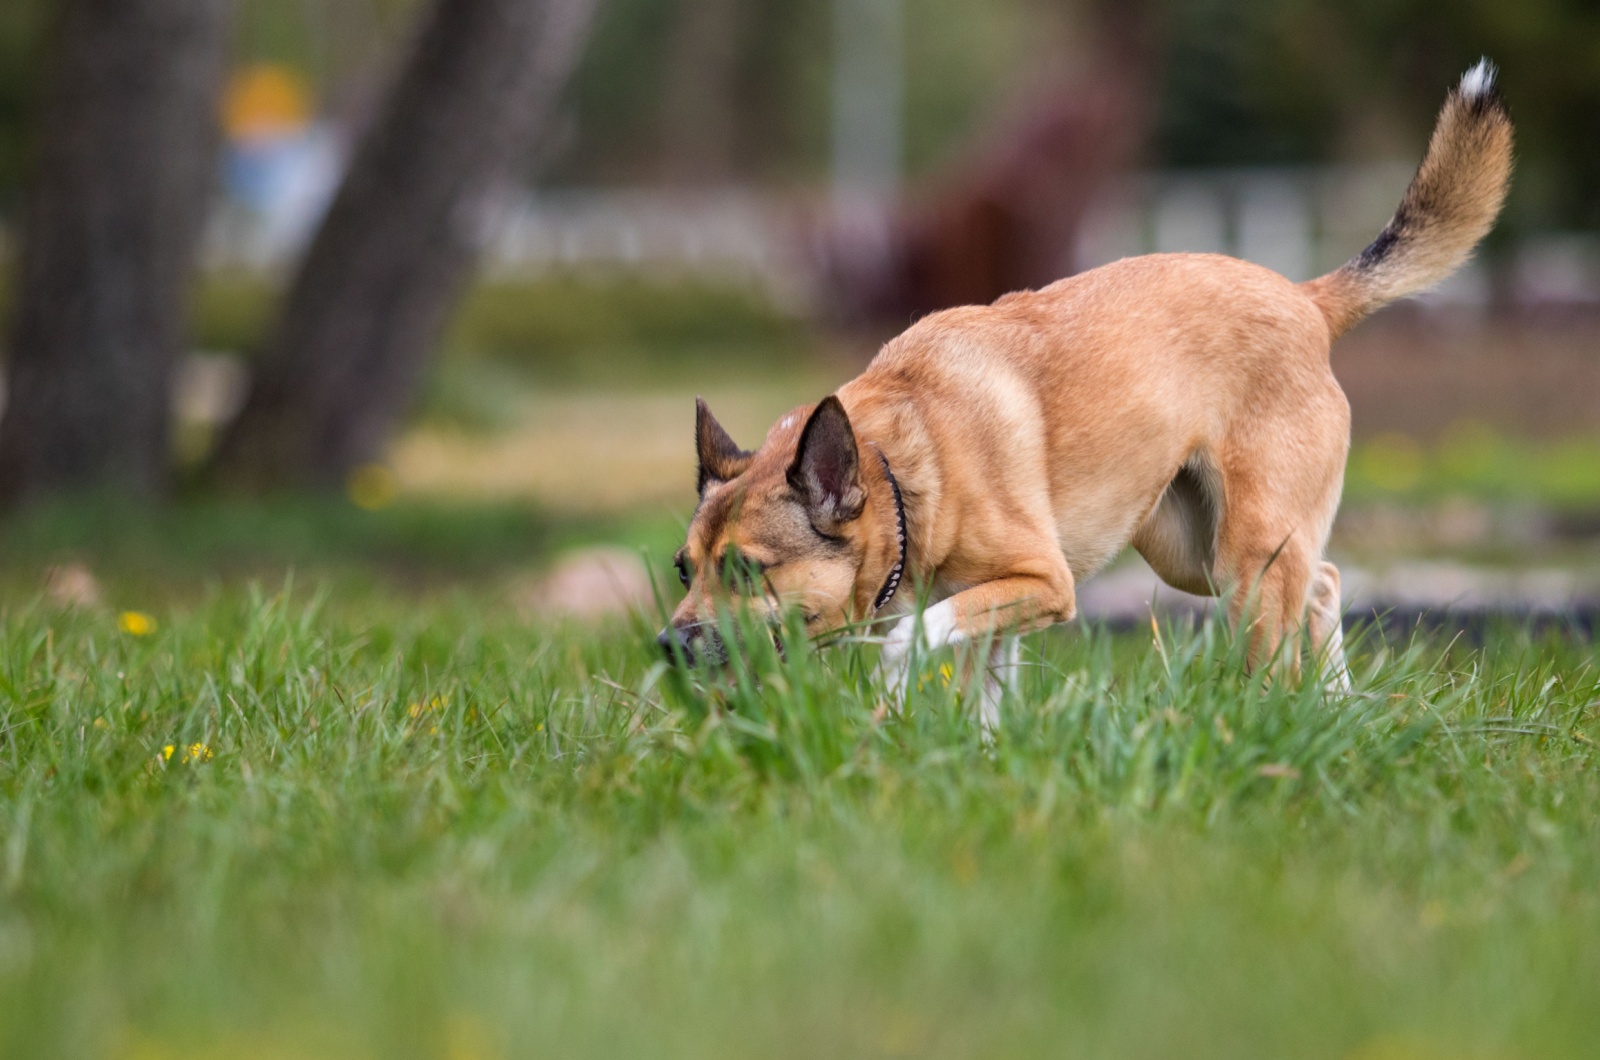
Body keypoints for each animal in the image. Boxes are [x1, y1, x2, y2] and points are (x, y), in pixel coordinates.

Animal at [659, 60, 1510, 723]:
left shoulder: (1043, 582)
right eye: (682, 570)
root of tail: (1305, 298)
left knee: (1285, 631)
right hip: (1193, 554)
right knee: (1325, 583)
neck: (904, 465)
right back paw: (1334, 706)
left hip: (1247, 558)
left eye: (746, 571)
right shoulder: (1000, 611)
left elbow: (913, 635)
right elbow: (984, 688)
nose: (668, 645)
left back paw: (1276, 725)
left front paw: (896, 696)